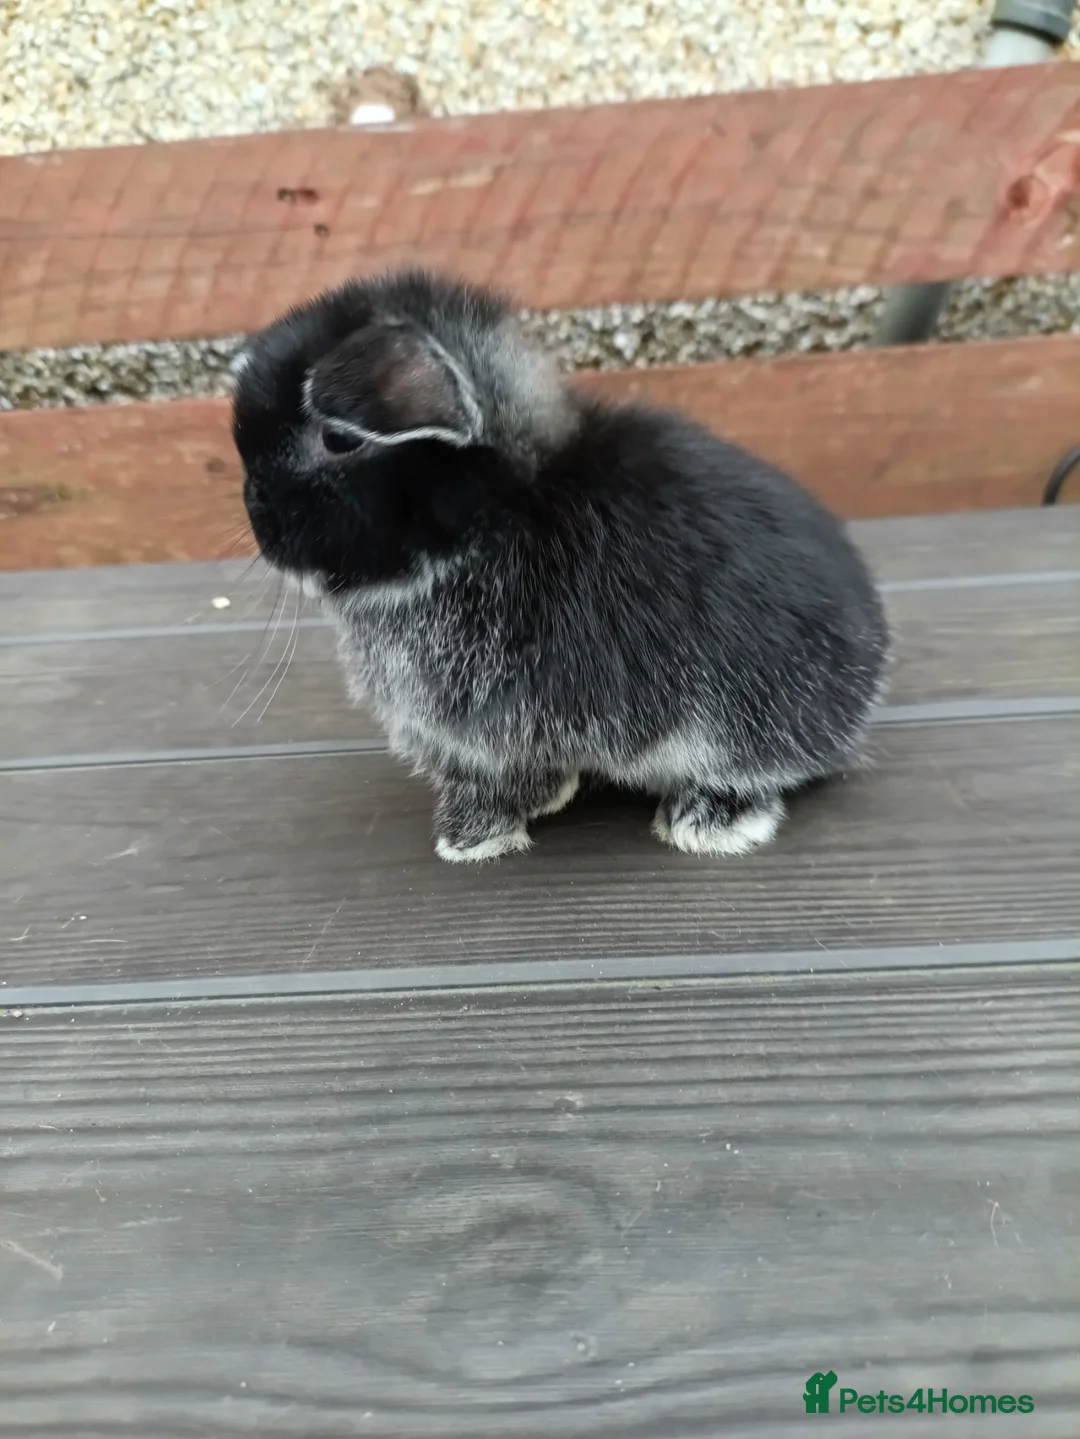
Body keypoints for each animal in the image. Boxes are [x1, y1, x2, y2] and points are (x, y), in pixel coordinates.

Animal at [232, 267, 890, 863]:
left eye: (339, 440)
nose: (261, 527)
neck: (497, 519)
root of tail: (870, 673)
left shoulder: (510, 728)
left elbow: (514, 778)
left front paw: (472, 838)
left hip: (746, 717)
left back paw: (709, 822)